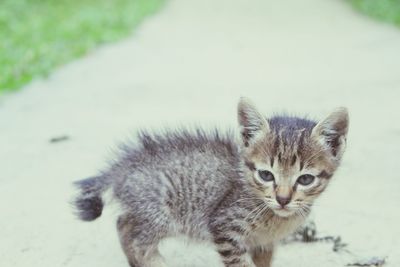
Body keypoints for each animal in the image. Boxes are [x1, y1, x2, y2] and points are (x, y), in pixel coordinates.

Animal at [73, 98, 348, 267]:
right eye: (266, 175)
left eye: (305, 179)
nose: (282, 199)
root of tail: (124, 166)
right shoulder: (225, 228)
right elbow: (241, 263)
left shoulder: (263, 243)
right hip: (159, 214)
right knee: (131, 232)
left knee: (122, 223)